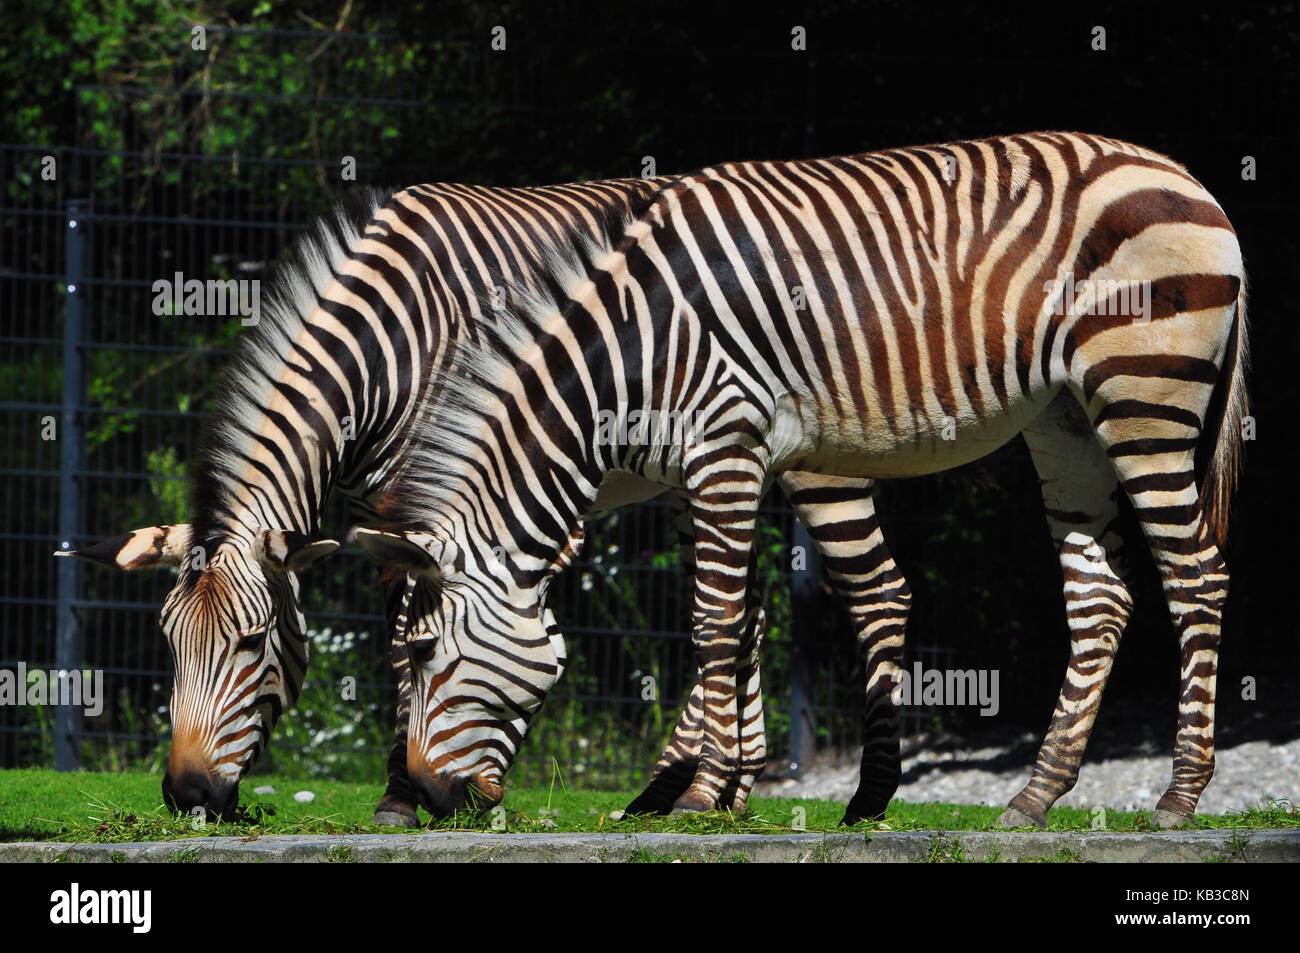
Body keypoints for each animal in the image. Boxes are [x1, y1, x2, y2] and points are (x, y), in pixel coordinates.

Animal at [55, 180, 899, 826]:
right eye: (168, 644)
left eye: (254, 641)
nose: (187, 793)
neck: (385, 344)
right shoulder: (389, 511)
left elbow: (410, 637)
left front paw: (405, 794)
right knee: (746, 613)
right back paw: (716, 792)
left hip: (816, 453)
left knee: (871, 587)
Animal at [358, 130, 1248, 826]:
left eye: (425, 651)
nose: (424, 799)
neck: (635, 347)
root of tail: (1184, 176)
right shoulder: (717, 469)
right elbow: (747, 622)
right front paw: (721, 789)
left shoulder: (724, 447)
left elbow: (716, 623)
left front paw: (701, 795)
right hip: (1063, 418)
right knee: (1101, 594)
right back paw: (1035, 795)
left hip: (1142, 392)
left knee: (1197, 575)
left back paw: (1180, 794)